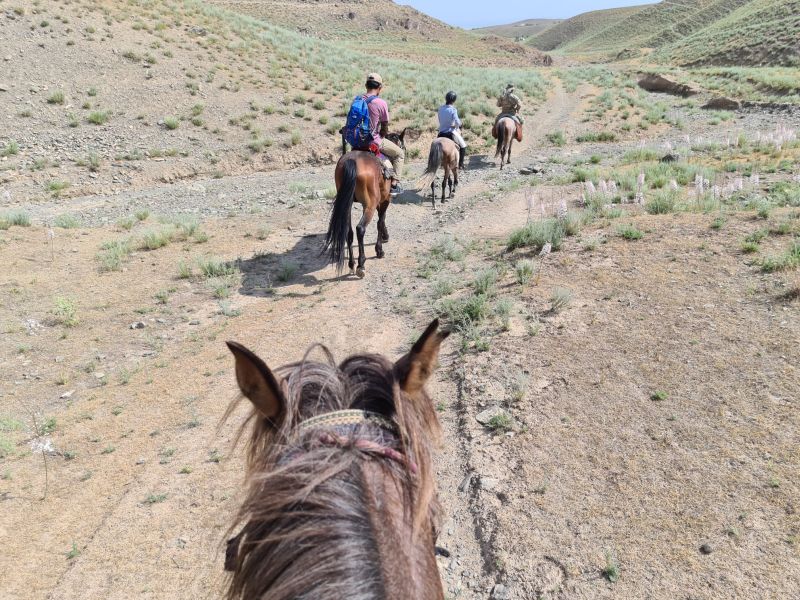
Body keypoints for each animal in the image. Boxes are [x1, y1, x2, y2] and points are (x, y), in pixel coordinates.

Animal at [324, 130, 406, 278]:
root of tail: (352, 162)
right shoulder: (385, 200)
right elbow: (381, 221)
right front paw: (379, 250)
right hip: (370, 205)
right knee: (360, 229)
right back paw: (361, 264)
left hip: (348, 205)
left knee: (349, 231)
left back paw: (351, 264)